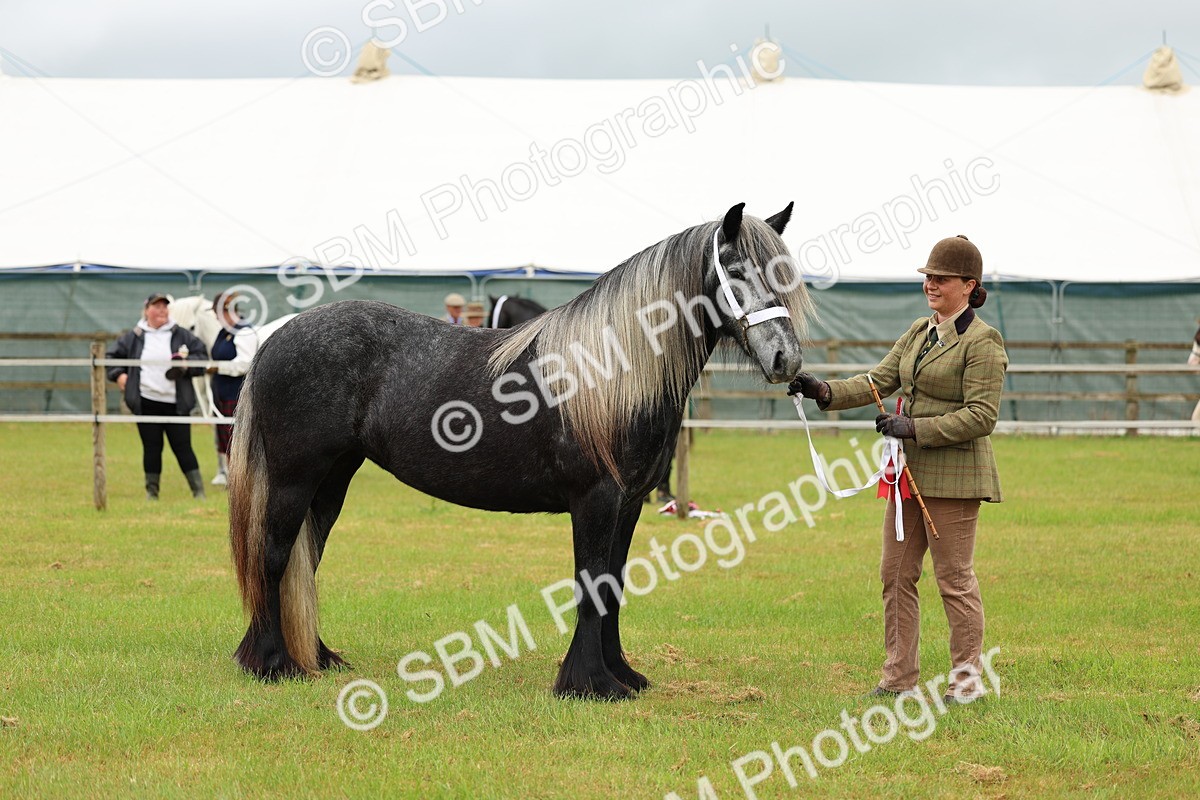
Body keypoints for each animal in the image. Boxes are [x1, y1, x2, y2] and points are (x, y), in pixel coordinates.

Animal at [228, 202, 812, 699]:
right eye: (734, 270)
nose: (785, 360)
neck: (609, 373)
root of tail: (278, 337)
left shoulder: (628, 505)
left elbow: (614, 585)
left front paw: (621, 675)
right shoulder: (596, 500)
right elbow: (592, 585)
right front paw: (589, 684)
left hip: (332, 480)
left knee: (306, 557)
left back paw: (316, 657)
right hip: (295, 478)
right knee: (274, 556)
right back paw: (272, 664)